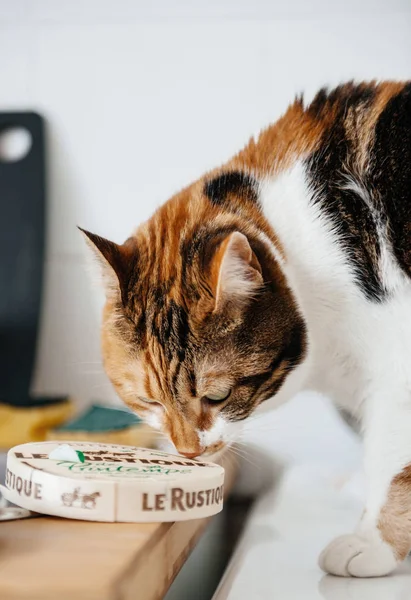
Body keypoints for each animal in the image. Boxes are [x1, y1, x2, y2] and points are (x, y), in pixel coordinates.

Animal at [82, 82, 411, 580]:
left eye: (217, 396)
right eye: (149, 401)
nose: (189, 452)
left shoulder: (397, 361)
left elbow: (393, 459)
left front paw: (372, 543)